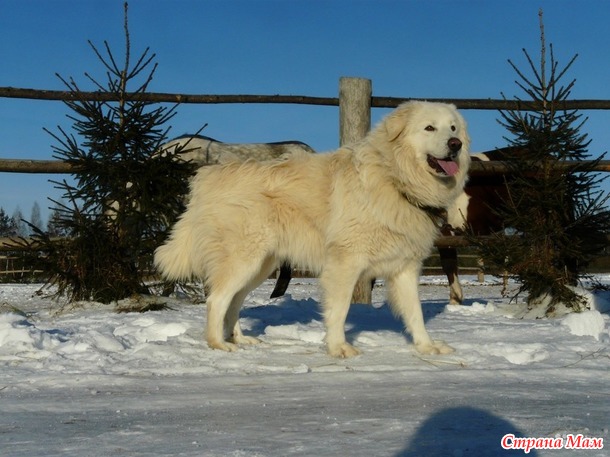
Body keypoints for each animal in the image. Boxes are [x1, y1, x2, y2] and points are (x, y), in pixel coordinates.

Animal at [154, 101, 468, 358]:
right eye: (429, 127)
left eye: (453, 127)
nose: (455, 144)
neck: (393, 177)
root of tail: (207, 178)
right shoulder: (345, 263)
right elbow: (339, 310)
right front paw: (338, 348)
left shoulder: (405, 268)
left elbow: (415, 314)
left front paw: (427, 347)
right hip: (244, 260)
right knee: (216, 300)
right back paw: (218, 344)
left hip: (260, 266)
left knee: (233, 302)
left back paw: (240, 340)